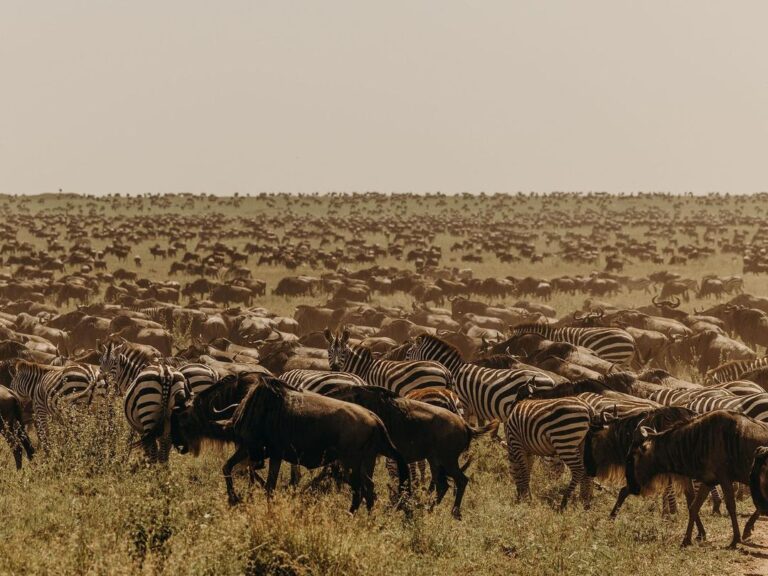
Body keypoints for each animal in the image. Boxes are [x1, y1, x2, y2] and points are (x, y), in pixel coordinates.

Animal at [404, 332, 556, 424]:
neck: (453, 370)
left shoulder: (463, 403)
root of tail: (551, 381)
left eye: (408, 353)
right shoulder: (478, 409)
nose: (403, 362)